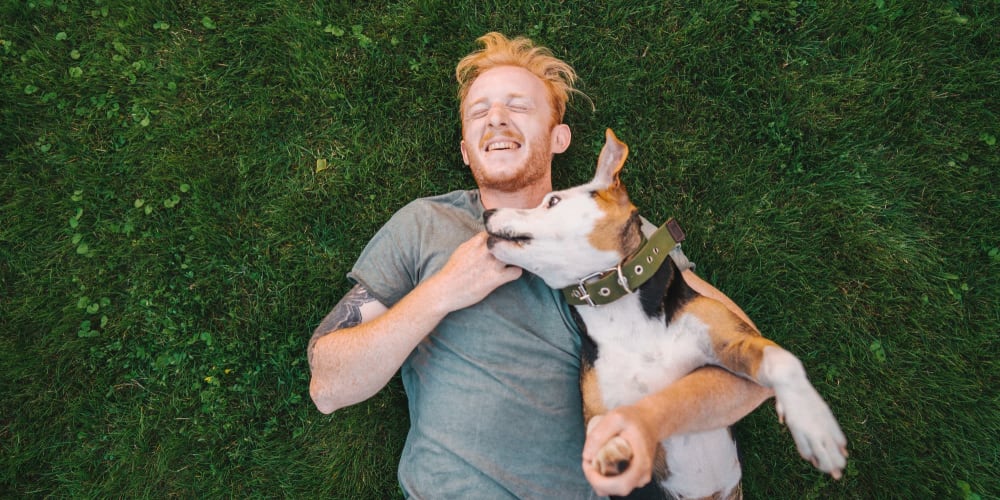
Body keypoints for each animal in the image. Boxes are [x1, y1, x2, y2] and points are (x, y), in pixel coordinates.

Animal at [482, 130, 844, 500]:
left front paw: (815, 426)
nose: (488, 212)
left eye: (552, 201)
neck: (619, 306)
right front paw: (609, 450)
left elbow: (782, 360)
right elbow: (598, 425)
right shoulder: (596, 409)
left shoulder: (732, 341)